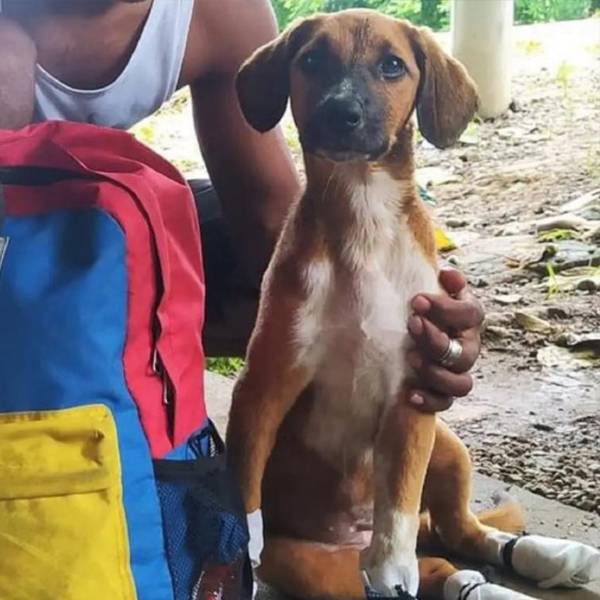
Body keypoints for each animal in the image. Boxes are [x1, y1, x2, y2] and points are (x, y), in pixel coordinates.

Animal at [226, 10, 600, 600]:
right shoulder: (264, 383)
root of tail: (350, 538)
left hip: (448, 443)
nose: (341, 114)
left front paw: (389, 563)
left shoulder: (414, 388)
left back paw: (545, 555)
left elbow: (399, 494)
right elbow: (244, 483)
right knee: (442, 564)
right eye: (311, 60)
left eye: (392, 66)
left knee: (457, 534)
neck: (364, 213)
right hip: (322, 570)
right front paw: (242, 551)